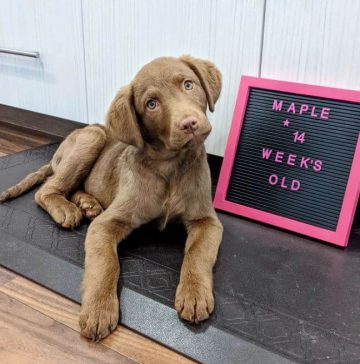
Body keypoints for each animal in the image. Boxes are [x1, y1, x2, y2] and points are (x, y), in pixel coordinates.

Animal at [0, 55, 222, 340]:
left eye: (188, 84)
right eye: (151, 104)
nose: (189, 124)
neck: (170, 167)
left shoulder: (207, 221)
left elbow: (198, 253)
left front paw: (194, 294)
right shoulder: (105, 225)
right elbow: (106, 263)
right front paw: (98, 310)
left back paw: (88, 203)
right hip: (91, 137)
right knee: (46, 190)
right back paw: (67, 209)